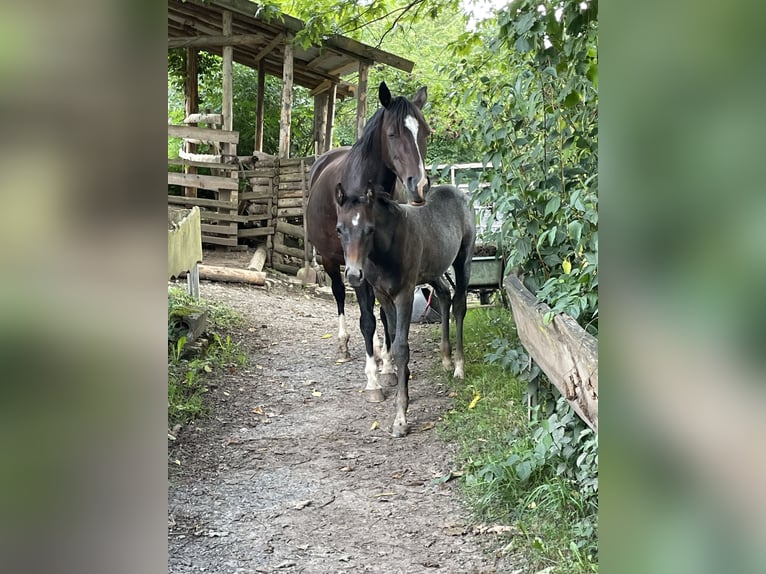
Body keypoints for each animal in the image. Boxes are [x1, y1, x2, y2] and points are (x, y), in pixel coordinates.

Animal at [305, 82, 432, 398]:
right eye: (392, 133)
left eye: (424, 131)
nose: (420, 185)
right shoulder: (357, 267)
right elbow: (367, 319)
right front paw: (373, 379)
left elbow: (385, 318)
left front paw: (388, 367)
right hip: (330, 261)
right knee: (340, 295)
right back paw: (344, 344)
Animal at [334, 182, 476, 437]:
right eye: (339, 229)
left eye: (369, 229)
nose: (353, 274)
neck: (386, 249)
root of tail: (457, 191)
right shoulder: (382, 295)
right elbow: (391, 334)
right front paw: (401, 377)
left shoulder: (405, 294)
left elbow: (400, 346)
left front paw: (400, 418)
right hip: (433, 270)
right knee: (444, 295)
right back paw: (446, 359)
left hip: (463, 259)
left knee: (459, 305)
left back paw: (459, 366)